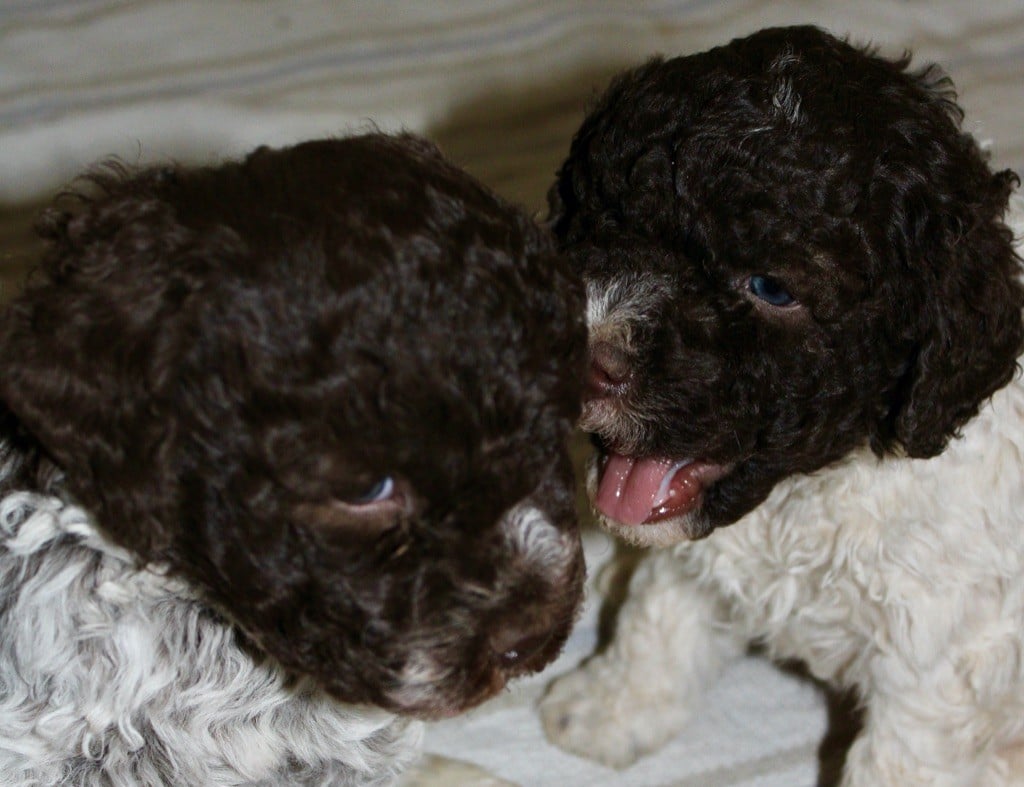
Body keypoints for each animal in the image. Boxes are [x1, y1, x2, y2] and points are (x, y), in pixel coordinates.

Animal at [540, 26, 1024, 785]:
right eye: (603, 219)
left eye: (771, 287)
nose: (590, 357)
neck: (809, 490)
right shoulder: (692, 555)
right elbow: (660, 620)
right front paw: (607, 709)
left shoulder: (939, 652)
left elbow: (895, 758)